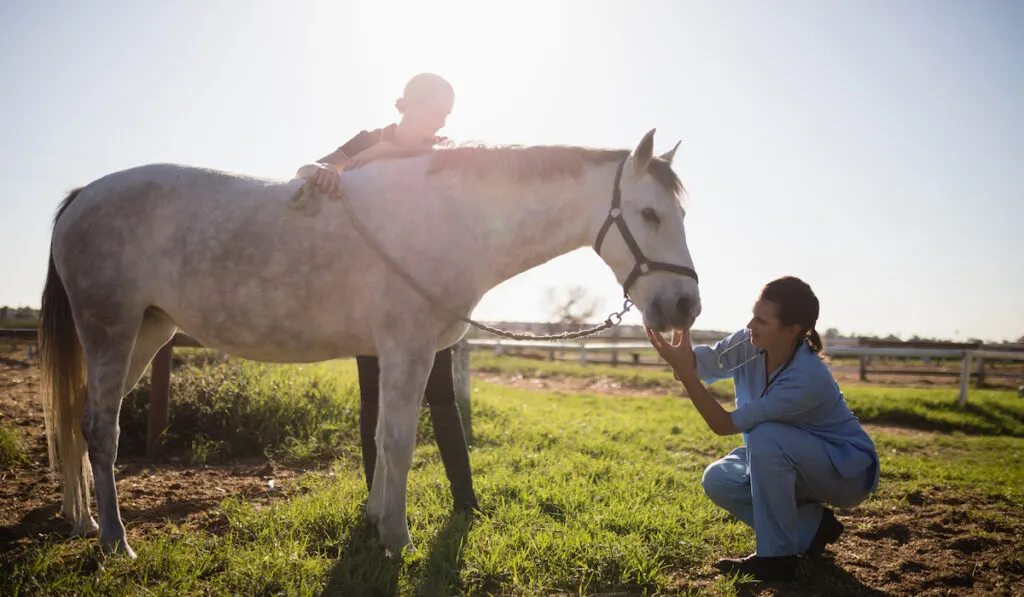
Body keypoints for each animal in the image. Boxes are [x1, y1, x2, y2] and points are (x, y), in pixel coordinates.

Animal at [37, 128, 696, 557]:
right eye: (649, 214)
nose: (686, 305)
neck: (449, 218)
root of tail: (80, 197)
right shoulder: (407, 350)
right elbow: (400, 443)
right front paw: (397, 540)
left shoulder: (400, 355)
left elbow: (382, 438)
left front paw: (379, 519)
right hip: (110, 329)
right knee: (101, 429)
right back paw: (114, 541)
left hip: (147, 331)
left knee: (79, 422)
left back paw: (81, 520)